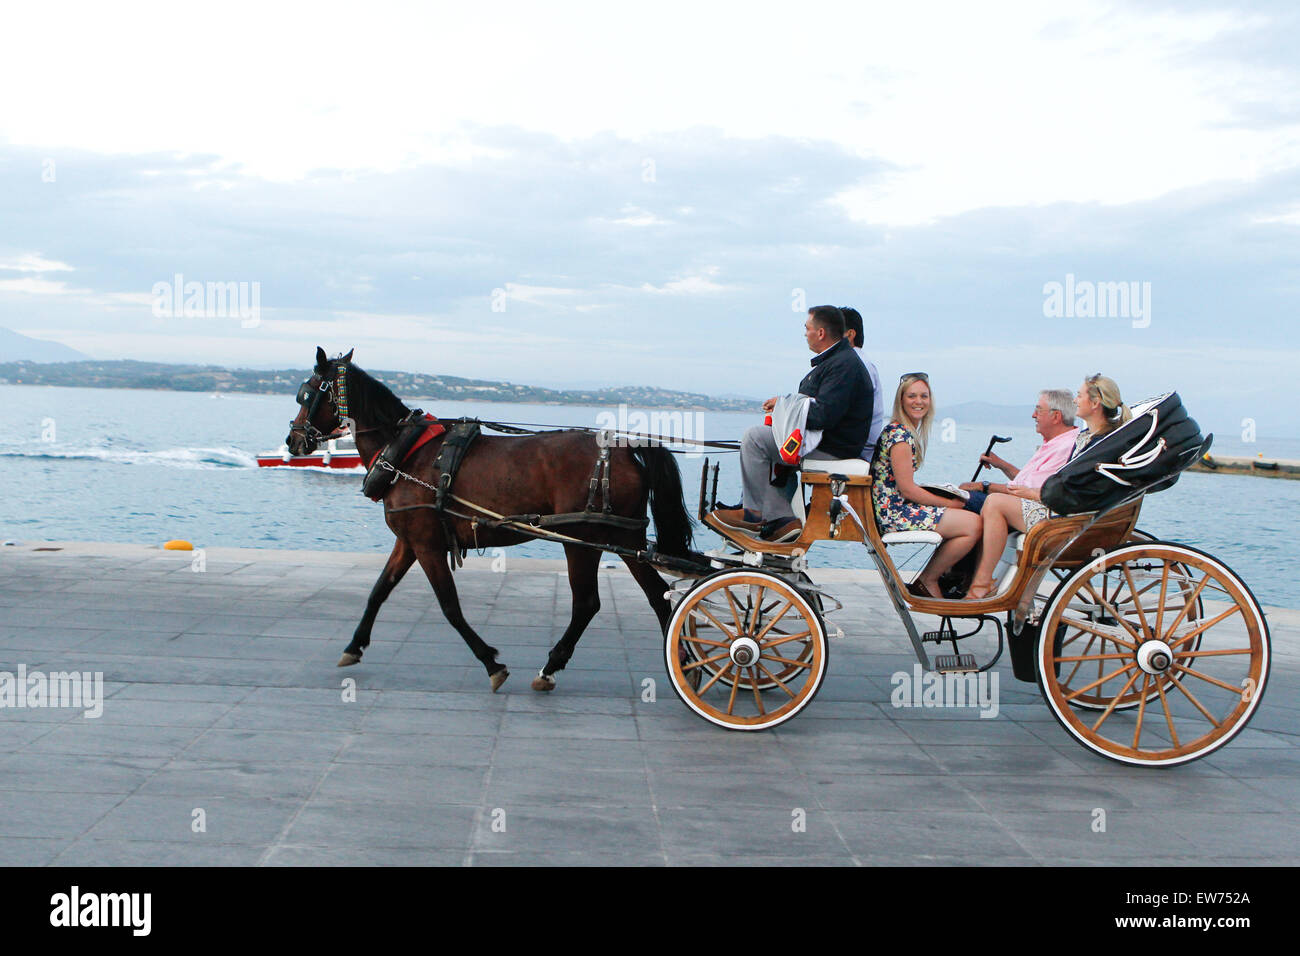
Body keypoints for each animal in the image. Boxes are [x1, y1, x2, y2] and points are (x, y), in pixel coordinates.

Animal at [283, 348, 691, 691]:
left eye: (307, 394)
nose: (292, 441)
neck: (406, 454)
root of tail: (622, 448)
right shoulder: (409, 541)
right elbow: (379, 591)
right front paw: (355, 645)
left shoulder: (427, 546)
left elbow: (449, 606)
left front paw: (491, 663)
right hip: (625, 538)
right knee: (657, 595)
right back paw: (683, 660)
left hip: (582, 540)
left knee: (588, 603)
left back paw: (552, 666)